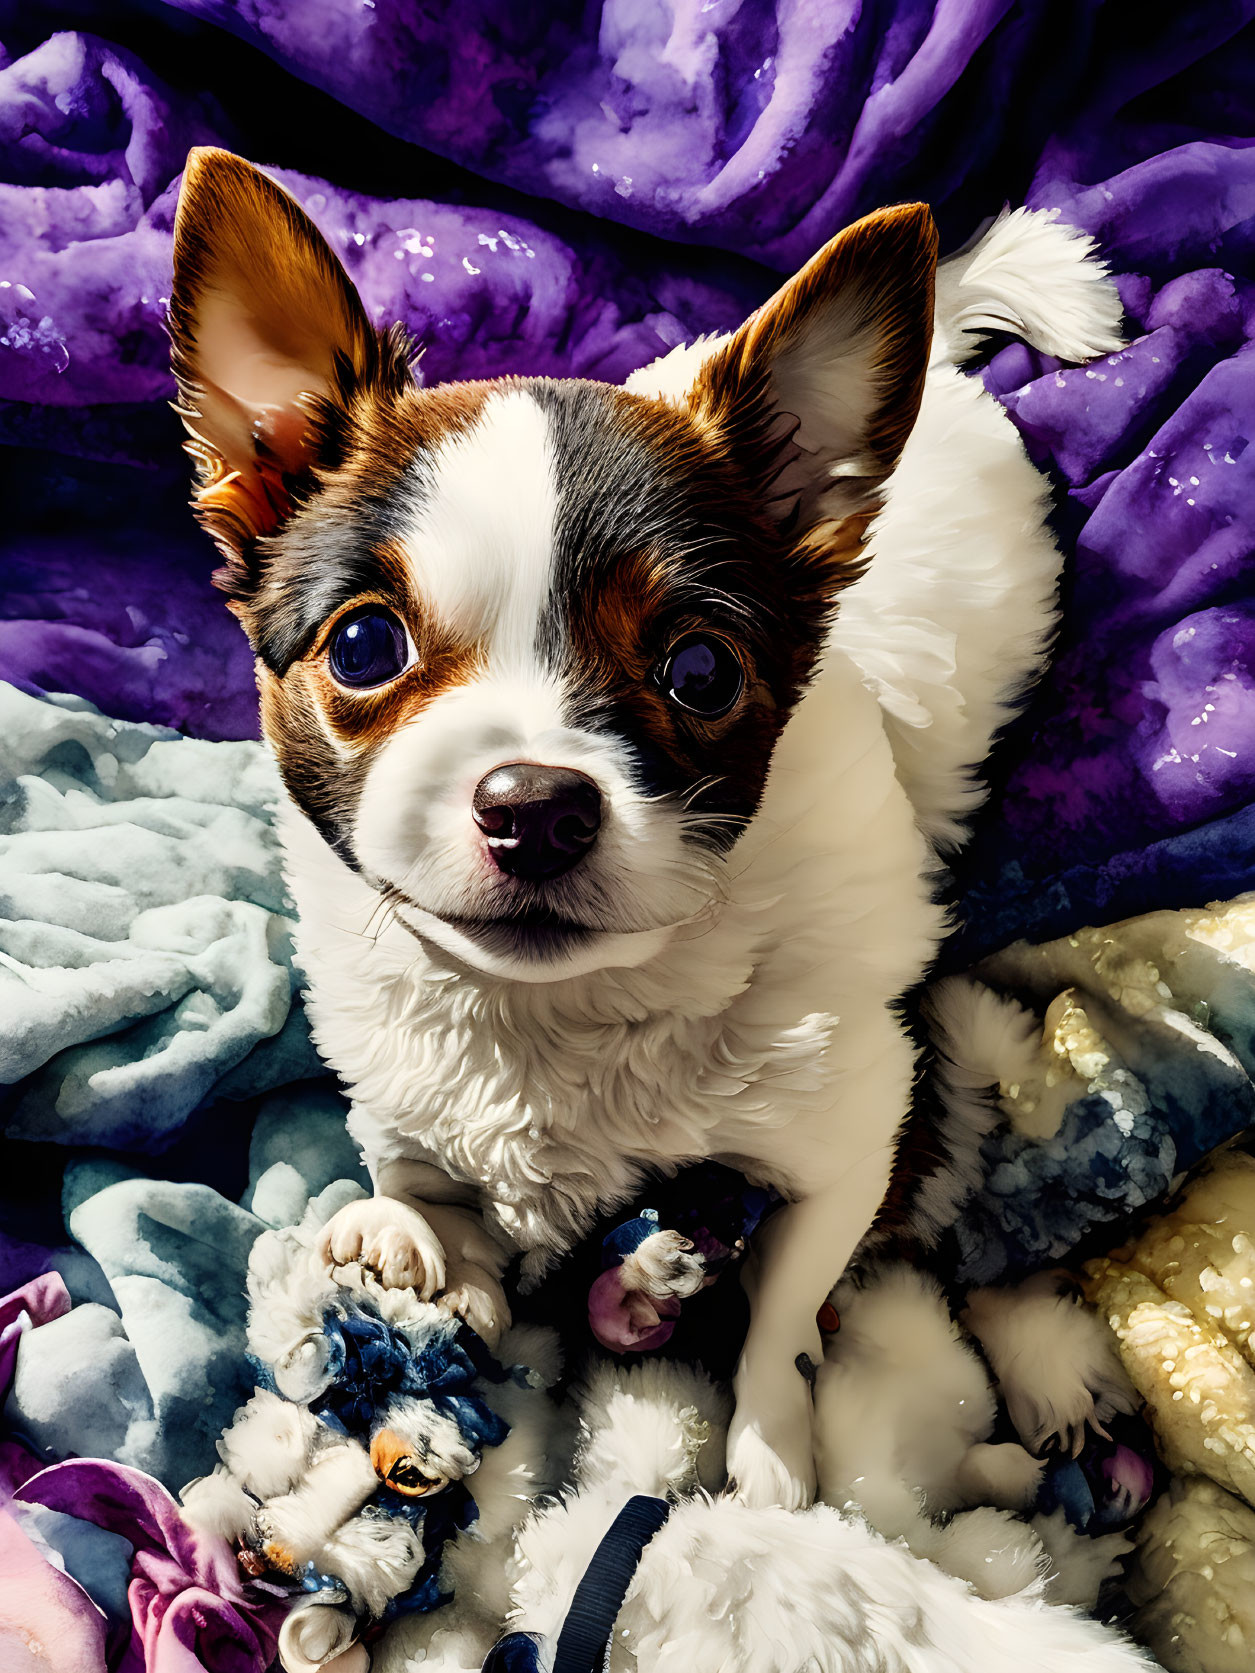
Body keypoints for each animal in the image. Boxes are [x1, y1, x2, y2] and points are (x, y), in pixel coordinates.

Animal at [169, 153, 1131, 1519]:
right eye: (361, 646)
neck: (557, 1022)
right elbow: (422, 1183)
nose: (534, 801)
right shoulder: (403, 1085)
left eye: (700, 671)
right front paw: (414, 1244)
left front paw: (772, 1459)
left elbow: (784, 1312)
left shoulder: (856, 1132)